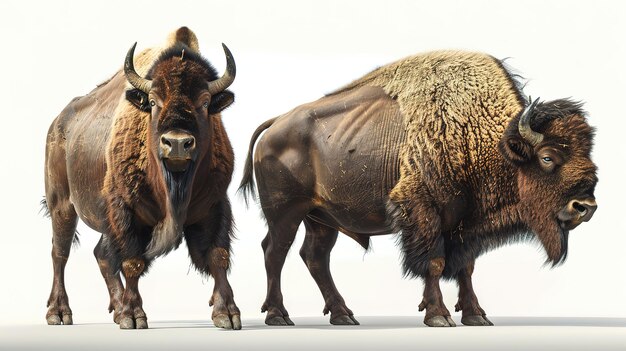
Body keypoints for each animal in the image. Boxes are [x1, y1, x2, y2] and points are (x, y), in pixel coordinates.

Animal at [44, 26, 241, 330]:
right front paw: (133, 316)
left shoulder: (215, 204)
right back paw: (59, 313)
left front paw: (227, 314)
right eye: (152, 101)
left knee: (100, 254)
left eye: (205, 102)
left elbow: (217, 255)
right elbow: (132, 262)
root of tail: (57, 123)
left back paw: (114, 308)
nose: (177, 143)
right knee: (60, 253)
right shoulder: (126, 211)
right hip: (62, 205)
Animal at [238, 51, 596, 328]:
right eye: (547, 157)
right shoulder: (423, 212)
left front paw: (476, 316)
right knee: (275, 252)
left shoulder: (464, 225)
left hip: (321, 219)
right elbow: (434, 263)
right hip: (286, 213)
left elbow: (466, 267)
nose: (585, 207)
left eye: (588, 153)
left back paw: (343, 315)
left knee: (314, 257)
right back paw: (278, 315)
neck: (486, 140)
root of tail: (274, 125)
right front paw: (439, 315)